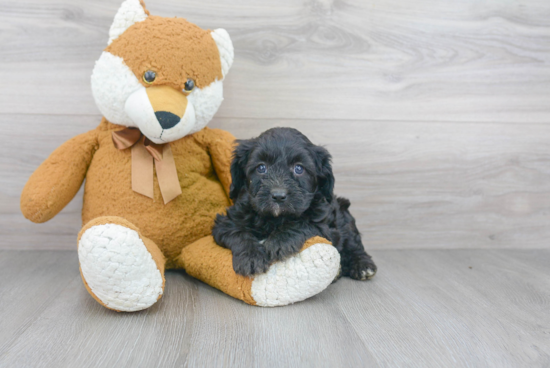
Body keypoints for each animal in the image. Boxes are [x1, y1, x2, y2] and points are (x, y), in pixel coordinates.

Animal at [212, 128, 380, 280]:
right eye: (261, 167)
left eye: (299, 168)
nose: (278, 195)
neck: (275, 218)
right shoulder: (226, 222)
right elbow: (238, 232)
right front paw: (251, 257)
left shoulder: (326, 226)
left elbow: (303, 223)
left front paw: (279, 241)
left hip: (345, 215)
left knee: (353, 243)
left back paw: (362, 265)